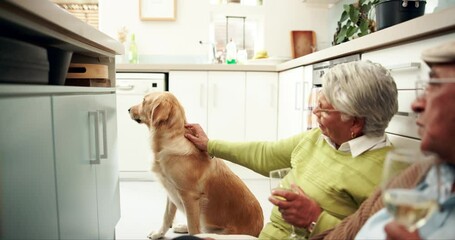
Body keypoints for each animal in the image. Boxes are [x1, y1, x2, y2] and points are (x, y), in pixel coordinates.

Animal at [128, 91, 264, 238]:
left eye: (144, 100)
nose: (128, 109)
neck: (169, 140)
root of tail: (260, 230)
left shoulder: (189, 197)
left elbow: (193, 228)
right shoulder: (170, 190)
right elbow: (167, 217)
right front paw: (159, 234)